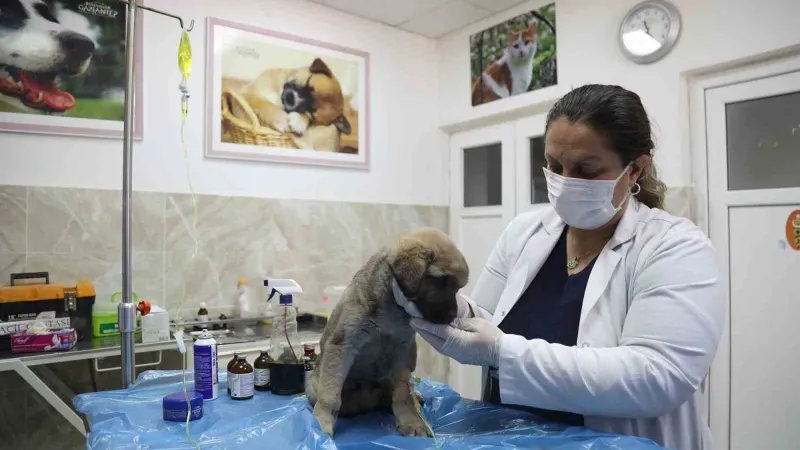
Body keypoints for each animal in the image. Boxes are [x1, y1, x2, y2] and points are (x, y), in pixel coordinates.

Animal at [306, 229, 468, 436]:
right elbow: (330, 393)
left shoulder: (403, 351)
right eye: (440, 280)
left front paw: (411, 421)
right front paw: (321, 424)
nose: (453, 316)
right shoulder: (342, 345)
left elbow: (402, 395)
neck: (390, 307)